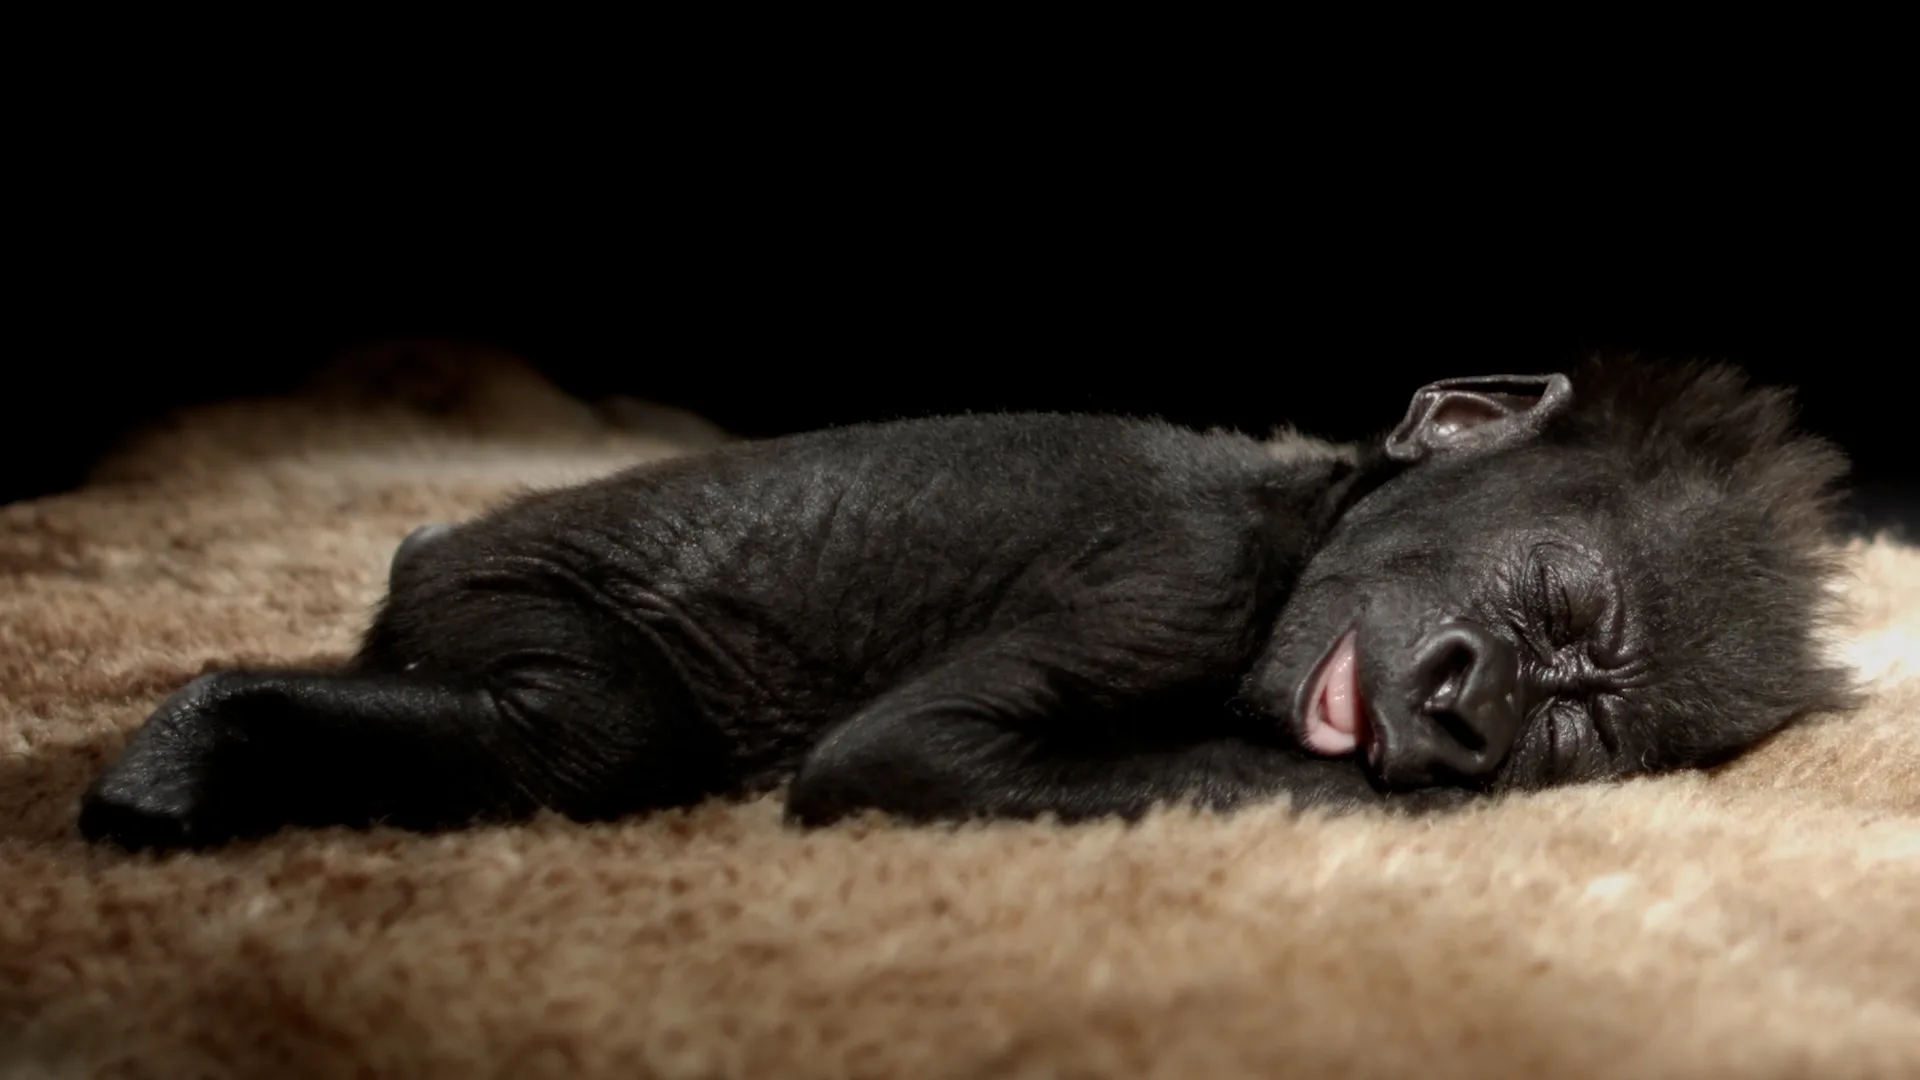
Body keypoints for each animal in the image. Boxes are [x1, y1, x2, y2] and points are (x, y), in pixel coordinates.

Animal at [75, 357, 1855, 851]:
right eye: (1545, 598)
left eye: (1579, 719)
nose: (1479, 708)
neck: (1312, 510)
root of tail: (426, 545)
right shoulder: (1170, 576)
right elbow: (906, 753)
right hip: (509, 592)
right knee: (583, 734)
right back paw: (185, 746)